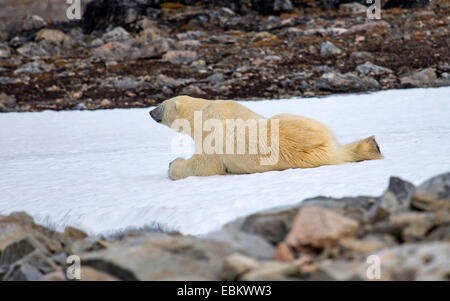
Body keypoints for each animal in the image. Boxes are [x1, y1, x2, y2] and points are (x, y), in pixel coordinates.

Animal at [149, 95, 382, 178]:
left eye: (161, 104)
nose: (150, 112)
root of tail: (329, 149)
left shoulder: (212, 136)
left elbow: (204, 165)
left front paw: (172, 165)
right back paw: (373, 145)